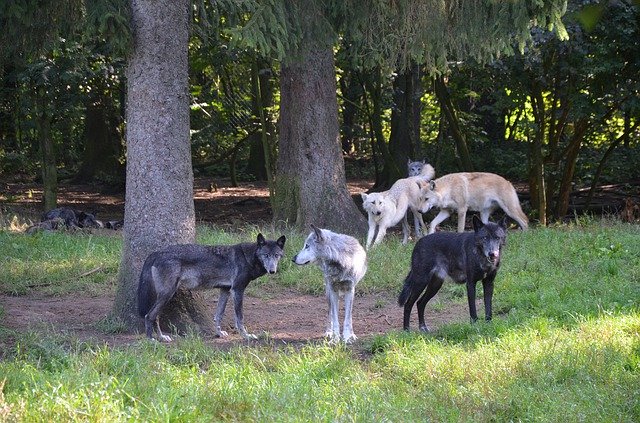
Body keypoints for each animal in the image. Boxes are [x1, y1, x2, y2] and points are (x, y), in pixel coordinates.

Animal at [139, 234, 286, 342]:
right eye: (266, 255)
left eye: (276, 255)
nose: (272, 271)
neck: (247, 257)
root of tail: (157, 252)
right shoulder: (237, 291)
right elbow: (240, 318)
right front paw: (246, 336)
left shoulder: (225, 290)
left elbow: (218, 315)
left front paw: (219, 333)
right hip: (167, 294)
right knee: (149, 315)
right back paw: (151, 339)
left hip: (164, 296)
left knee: (155, 316)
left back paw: (161, 337)